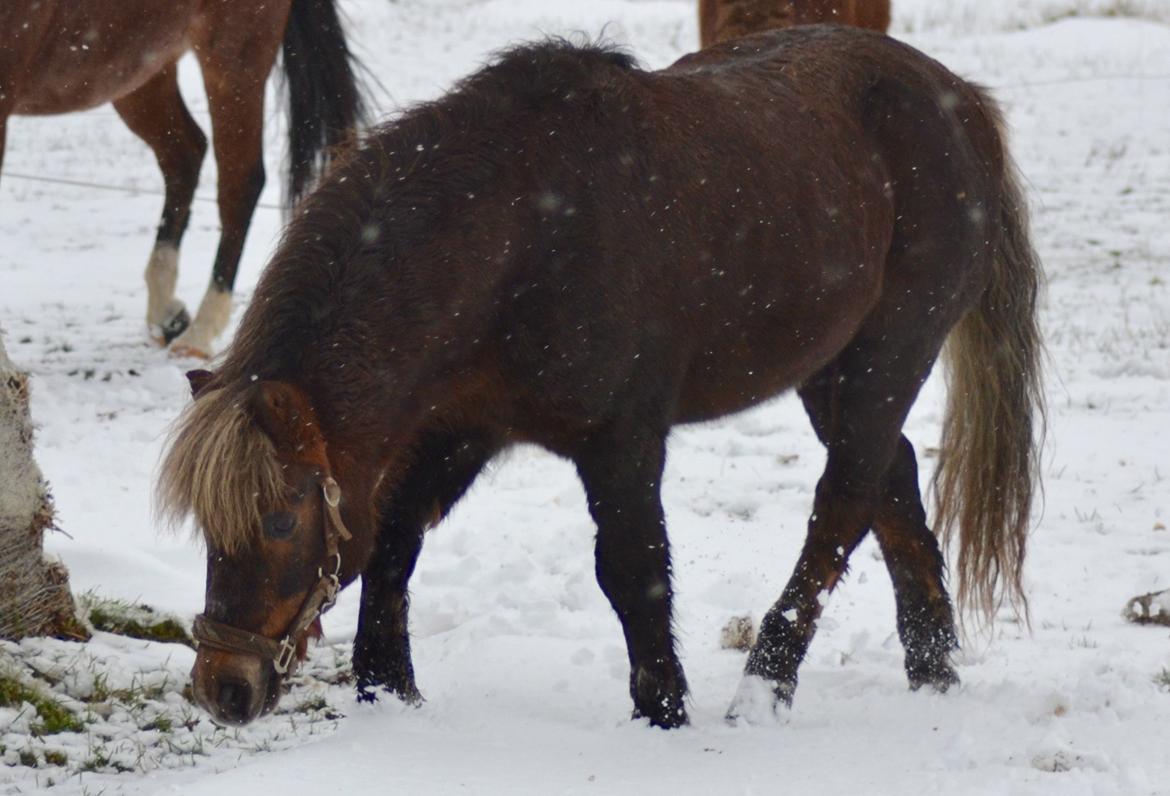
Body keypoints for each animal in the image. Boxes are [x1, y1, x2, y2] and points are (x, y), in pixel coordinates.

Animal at [0, 0, 365, 353]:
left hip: (233, 64)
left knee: (239, 183)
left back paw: (199, 334)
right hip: (137, 68)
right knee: (185, 154)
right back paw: (167, 314)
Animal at [155, 29, 1043, 725]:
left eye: (279, 518)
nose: (224, 688)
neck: (518, 234)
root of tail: (963, 102)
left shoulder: (620, 439)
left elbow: (632, 569)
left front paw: (663, 710)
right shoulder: (463, 426)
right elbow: (395, 539)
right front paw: (387, 691)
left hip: (886, 357)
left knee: (843, 503)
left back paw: (765, 688)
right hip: (829, 371)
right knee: (891, 482)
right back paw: (932, 670)